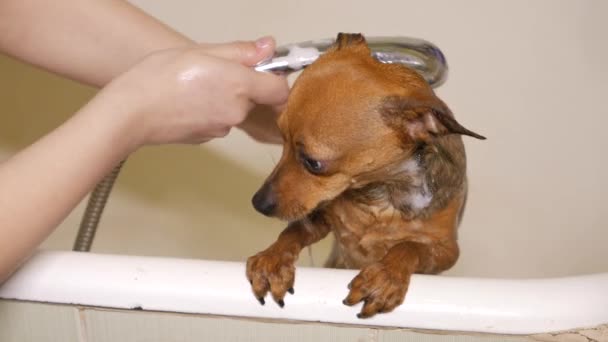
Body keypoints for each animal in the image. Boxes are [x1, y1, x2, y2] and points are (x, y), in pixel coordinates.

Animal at [247, 32, 484, 318]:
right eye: (280, 138)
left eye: (313, 163)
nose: (258, 203)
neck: (378, 197)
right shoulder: (320, 219)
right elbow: (291, 232)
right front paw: (273, 259)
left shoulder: (445, 250)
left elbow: (409, 246)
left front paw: (386, 275)